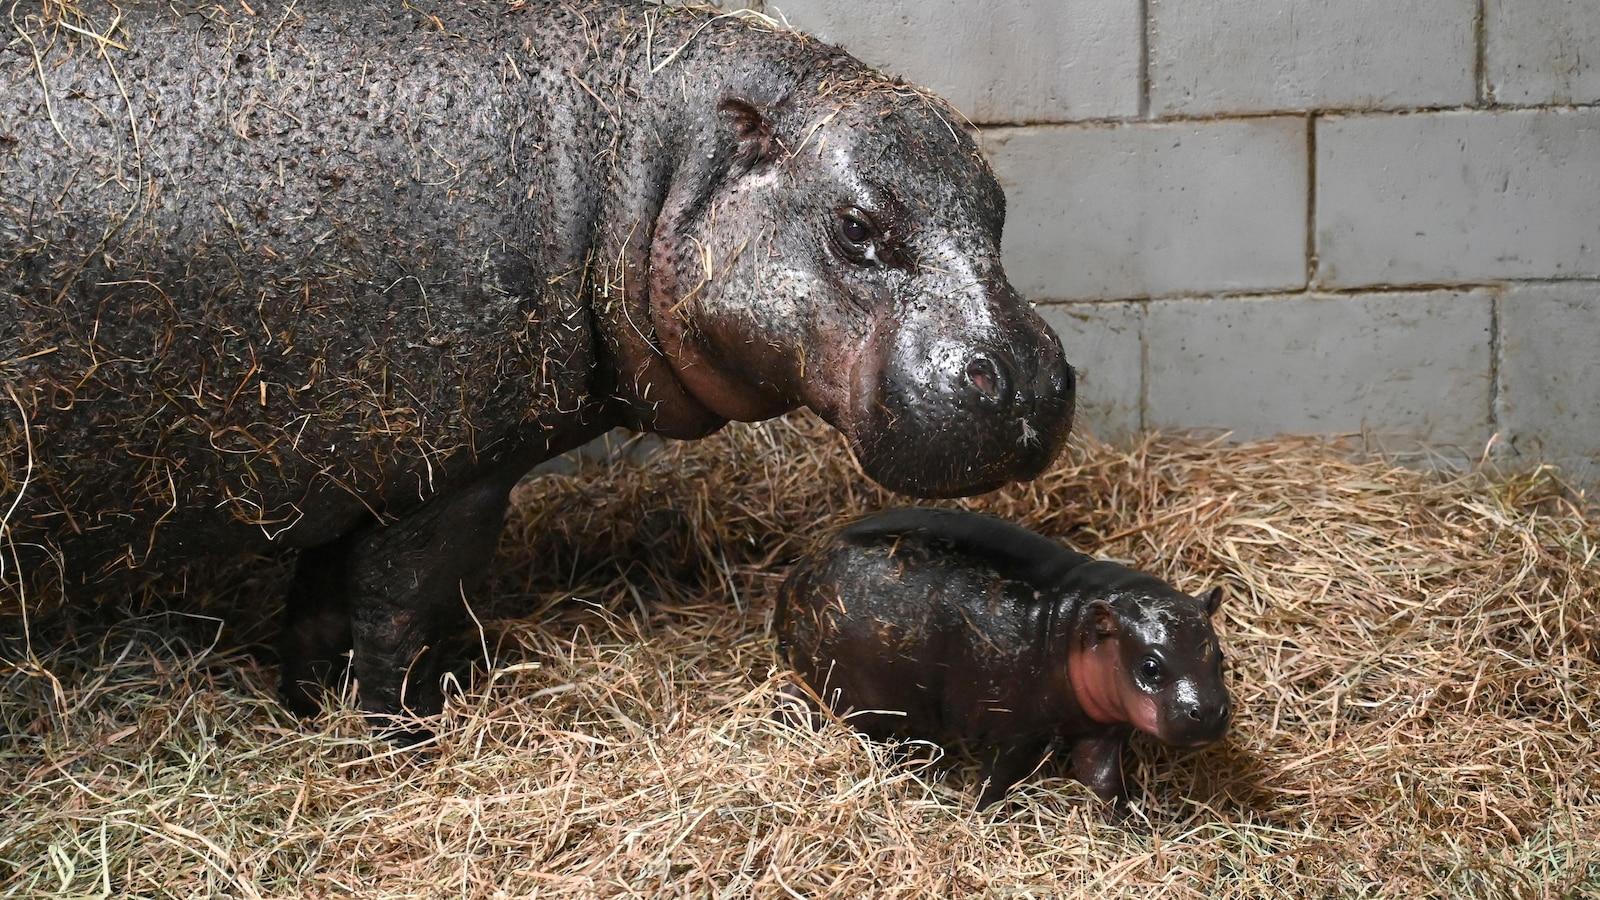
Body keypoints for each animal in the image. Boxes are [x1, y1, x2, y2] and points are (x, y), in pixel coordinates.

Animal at [3, 1, 1075, 730]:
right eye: (856, 227)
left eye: (1000, 207)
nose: (1027, 375)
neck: (638, 161)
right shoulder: (444, 476)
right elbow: (392, 616)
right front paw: (404, 735)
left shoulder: (349, 462)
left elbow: (314, 612)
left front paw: (305, 712)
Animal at [777, 506, 1235, 807]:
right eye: (1150, 666)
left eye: (1220, 657)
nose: (1210, 711)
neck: (1073, 627)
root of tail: (799, 571)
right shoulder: (1015, 730)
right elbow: (998, 778)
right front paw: (982, 815)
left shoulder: (1101, 728)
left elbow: (1102, 777)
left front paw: (1124, 821)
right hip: (849, 690)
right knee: (804, 702)